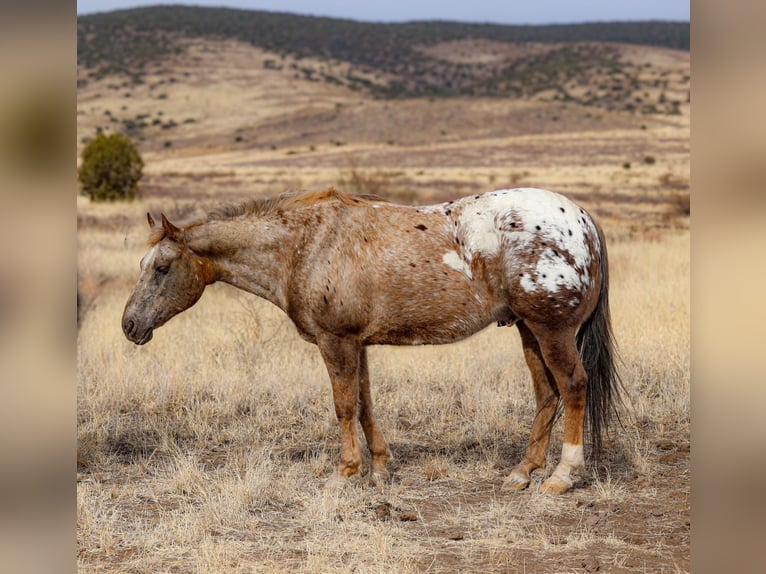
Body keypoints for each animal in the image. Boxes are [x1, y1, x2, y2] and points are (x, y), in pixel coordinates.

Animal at [121, 188, 624, 496]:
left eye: (162, 268)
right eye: (143, 264)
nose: (129, 324)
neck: (306, 245)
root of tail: (582, 219)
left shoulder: (336, 341)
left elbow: (344, 406)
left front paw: (344, 474)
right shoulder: (356, 344)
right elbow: (364, 403)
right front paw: (380, 467)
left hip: (551, 331)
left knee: (573, 387)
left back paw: (562, 475)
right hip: (526, 331)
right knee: (546, 394)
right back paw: (522, 472)